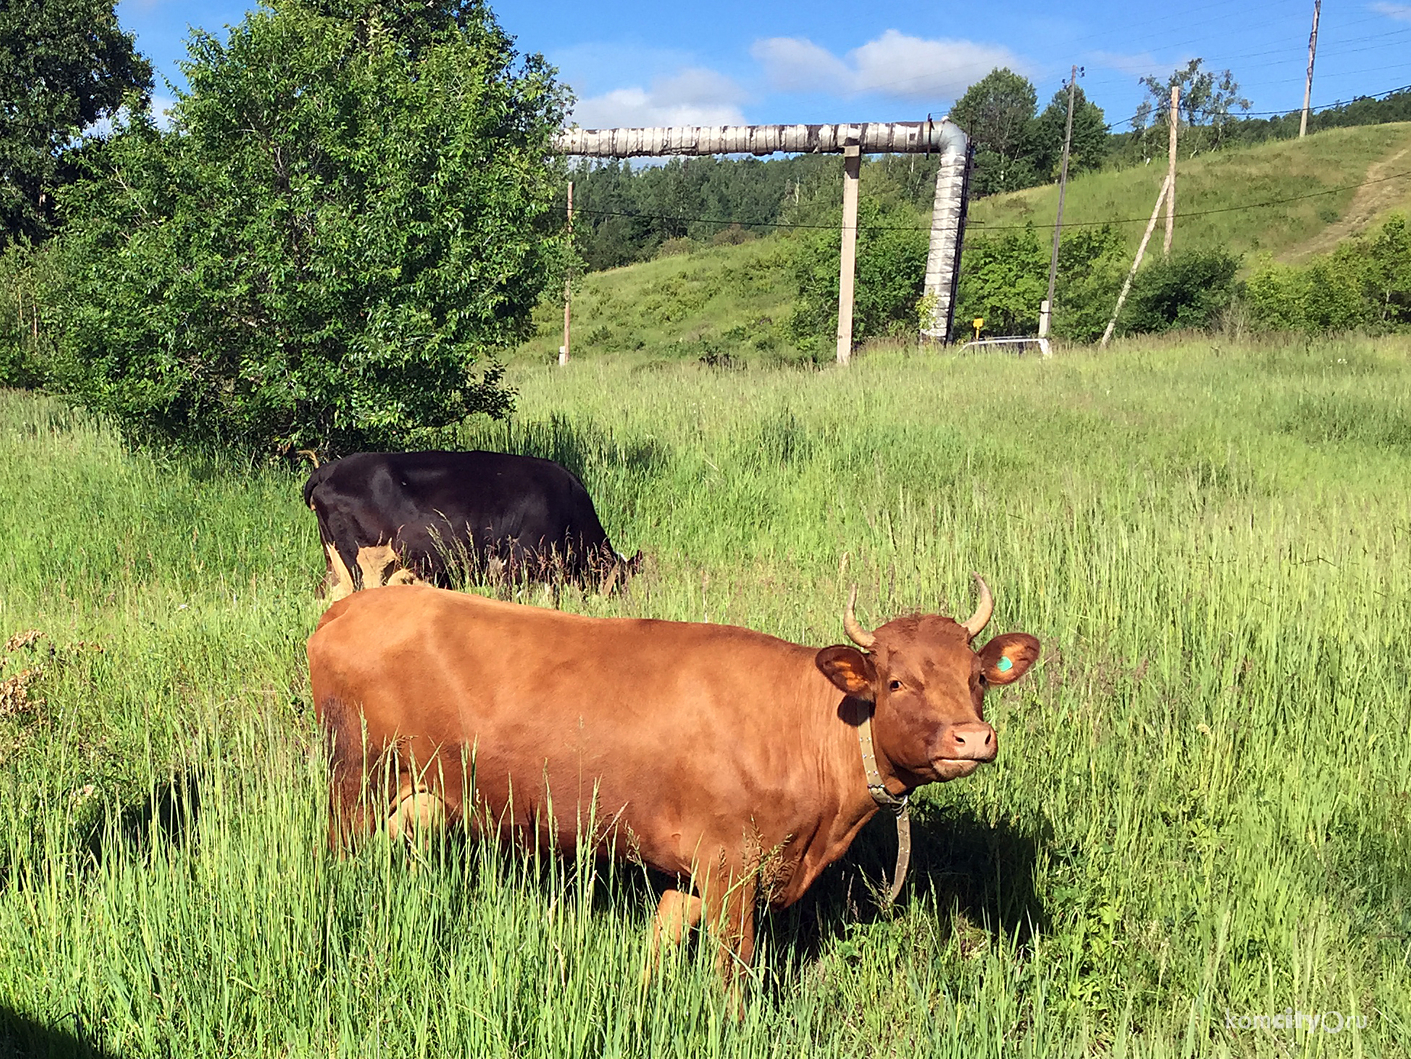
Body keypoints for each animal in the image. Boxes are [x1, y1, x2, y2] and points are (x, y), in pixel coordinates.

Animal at [309, 575, 1038, 992]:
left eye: (976, 676)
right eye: (895, 682)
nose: (971, 738)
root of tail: (352, 606)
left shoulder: (696, 874)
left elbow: (660, 944)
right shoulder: (731, 870)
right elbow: (731, 975)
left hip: (419, 796)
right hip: (356, 781)